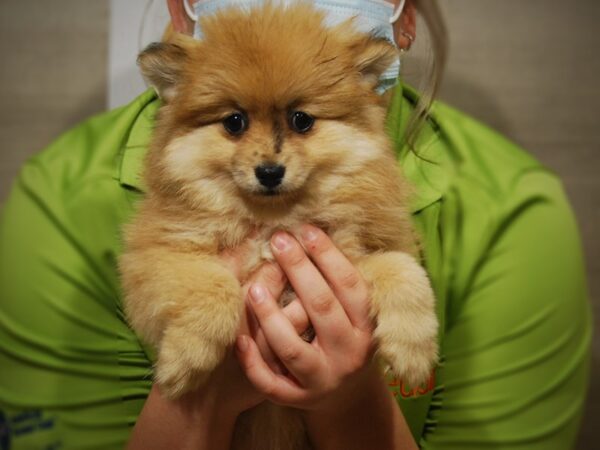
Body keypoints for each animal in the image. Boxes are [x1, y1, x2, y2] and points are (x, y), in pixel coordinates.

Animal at [118, 1, 436, 448]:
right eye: (234, 122)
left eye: (301, 119)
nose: (269, 171)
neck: (274, 221)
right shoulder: (154, 258)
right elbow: (215, 288)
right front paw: (184, 360)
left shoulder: (351, 256)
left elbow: (404, 271)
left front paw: (413, 352)